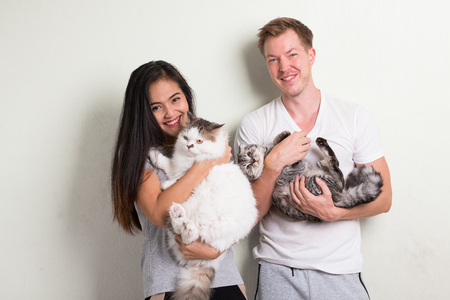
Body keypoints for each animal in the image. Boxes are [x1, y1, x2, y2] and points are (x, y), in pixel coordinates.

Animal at [237, 132, 382, 223]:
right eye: (248, 167)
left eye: (249, 154)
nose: (253, 161)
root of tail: (339, 196)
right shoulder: (290, 169)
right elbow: (290, 158)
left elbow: (275, 142)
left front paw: (282, 136)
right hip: (316, 181)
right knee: (337, 172)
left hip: (321, 167)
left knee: (334, 165)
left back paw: (321, 142)